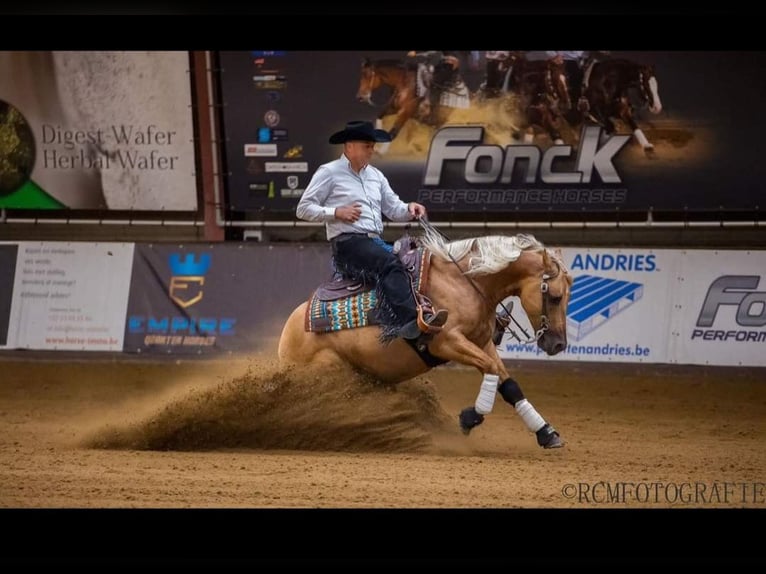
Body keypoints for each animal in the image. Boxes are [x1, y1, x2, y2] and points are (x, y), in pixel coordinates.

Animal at [280, 227, 572, 452]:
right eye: (555, 297)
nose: (558, 345)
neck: (463, 283)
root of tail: (289, 331)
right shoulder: (447, 343)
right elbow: (490, 369)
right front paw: (469, 418)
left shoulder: (482, 343)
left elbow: (509, 384)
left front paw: (546, 433)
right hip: (329, 371)